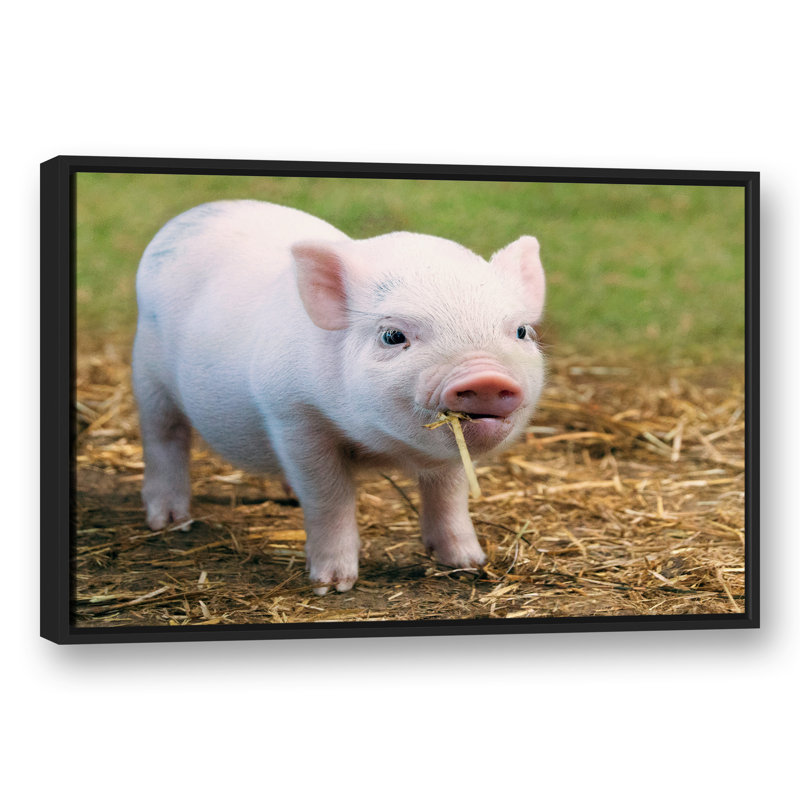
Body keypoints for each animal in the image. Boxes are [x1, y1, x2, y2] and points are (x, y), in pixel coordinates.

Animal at [132, 199, 546, 594]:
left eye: (521, 331)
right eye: (393, 335)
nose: (487, 375)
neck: (383, 448)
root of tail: (191, 215)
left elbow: (449, 494)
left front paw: (468, 563)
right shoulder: (293, 416)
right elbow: (329, 498)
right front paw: (331, 586)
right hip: (148, 376)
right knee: (164, 437)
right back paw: (169, 523)